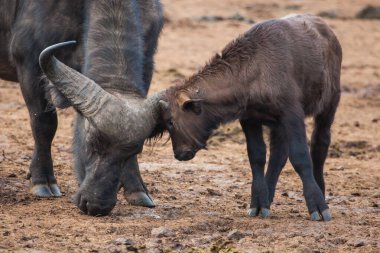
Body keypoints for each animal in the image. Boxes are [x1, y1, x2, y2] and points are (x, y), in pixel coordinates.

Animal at [1, 0, 165, 215]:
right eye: (90, 143)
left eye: (136, 150)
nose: (98, 205)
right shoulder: (29, 63)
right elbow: (44, 125)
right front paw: (42, 180)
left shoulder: (147, 61)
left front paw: (136, 189)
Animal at [157, 13, 342, 220]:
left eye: (171, 122)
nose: (179, 154)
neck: (254, 72)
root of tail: (328, 31)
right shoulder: (250, 119)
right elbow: (257, 156)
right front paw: (258, 204)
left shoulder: (292, 115)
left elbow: (301, 156)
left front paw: (318, 206)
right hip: (278, 125)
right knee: (278, 153)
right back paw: (268, 198)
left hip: (329, 105)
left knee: (319, 144)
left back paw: (321, 191)